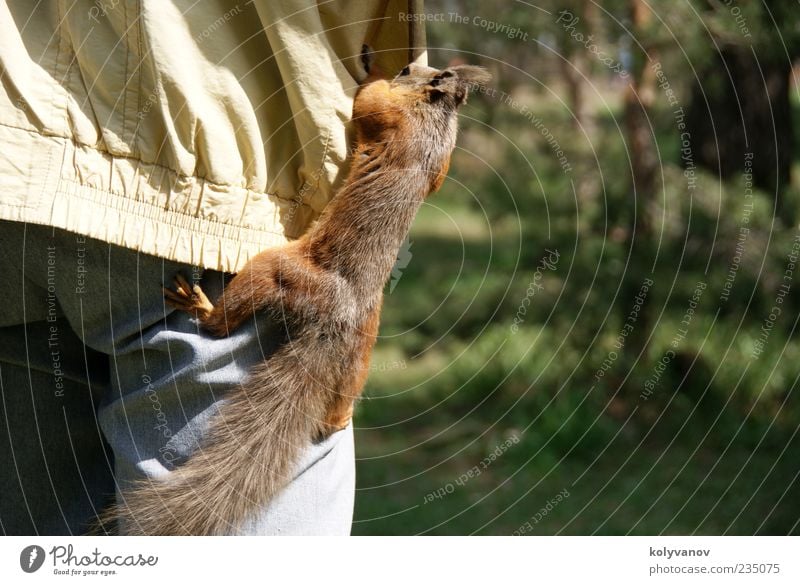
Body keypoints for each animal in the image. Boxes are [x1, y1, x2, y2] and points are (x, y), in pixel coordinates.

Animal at [100, 48, 488, 532]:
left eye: (408, 71)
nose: (405, 64)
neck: (436, 118)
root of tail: (335, 319)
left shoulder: (393, 119)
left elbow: (369, 103)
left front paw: (370, 68)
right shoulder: (434, 155)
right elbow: (433, 172)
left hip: (277, 270)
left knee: (222, 323)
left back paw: (200, 305)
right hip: (363, 346)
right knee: (344, 395)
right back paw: (336, 420)